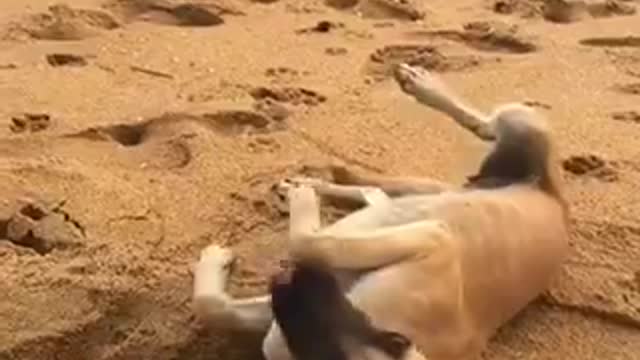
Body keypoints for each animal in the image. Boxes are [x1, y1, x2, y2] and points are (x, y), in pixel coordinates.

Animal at [190, 64, 568, 360]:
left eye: (395, 340)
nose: (290, 277)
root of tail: (550, 196)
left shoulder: (433, 241)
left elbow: (306, 242)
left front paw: (302, 202)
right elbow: (214, 306)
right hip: (461, 168)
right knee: (477, 131)